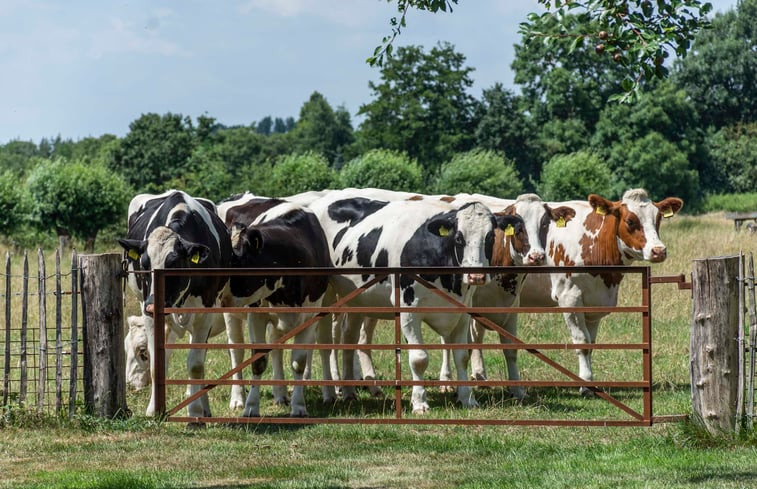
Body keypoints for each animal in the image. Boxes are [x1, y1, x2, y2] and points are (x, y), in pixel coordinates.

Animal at [118, 190, 233, 416]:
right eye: (144, 264)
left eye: (173, 264)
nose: (152, 305)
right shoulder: (150, 313)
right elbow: (157, 363)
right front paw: (154, 411)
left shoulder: (206, 312)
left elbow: (196, 364)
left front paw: (195, 411)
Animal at [216, 192, 334, 416]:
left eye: (236, 262)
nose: (217, 296)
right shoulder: (256, 316)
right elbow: (258, 361)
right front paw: (251, 407)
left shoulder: (311, 315)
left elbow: (298, 362)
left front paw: (299, 406)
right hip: (233, 316)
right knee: (236, 351)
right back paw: (238, 398)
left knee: (277, 348)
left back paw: (281, 394)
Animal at [306, 190, 524, 412]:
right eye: (459, 238)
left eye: (490, 237)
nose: (476, 276)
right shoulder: (409, 311)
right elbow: (419, 358)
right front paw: (419, 402)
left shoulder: (462, 313)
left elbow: (462, 356)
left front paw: (467, 398)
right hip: (326, 296)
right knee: (325, 341)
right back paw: (330, 393)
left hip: (357, 300)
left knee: (349, 337)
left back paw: (349, 392)